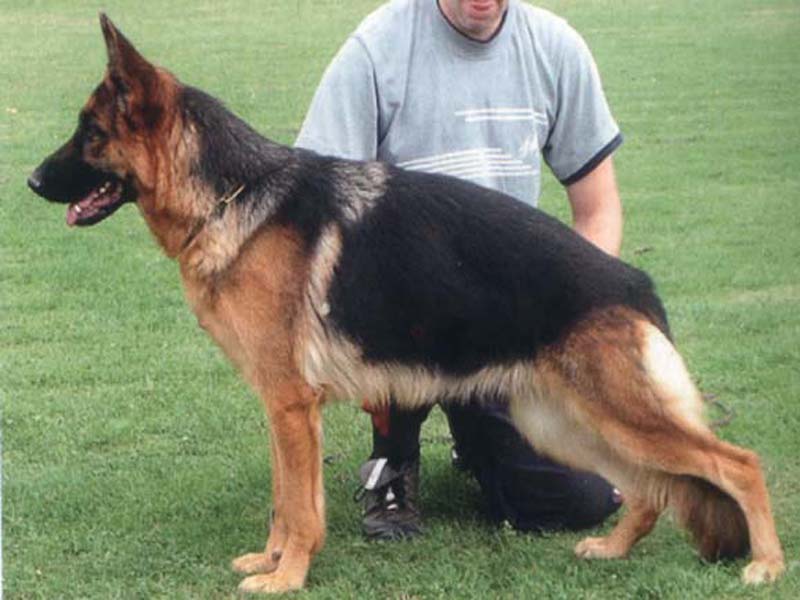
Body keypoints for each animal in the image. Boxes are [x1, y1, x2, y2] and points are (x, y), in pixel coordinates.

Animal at [28, 15, 785, 594]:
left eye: (89, 134)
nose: (31, 180)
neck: (231, 196)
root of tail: (633, 282)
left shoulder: (291, 407)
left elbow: (300, 508)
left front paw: (287, 577)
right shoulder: (279, 406)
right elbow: (283, 501)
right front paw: (269, 561)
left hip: (616, 415)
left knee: (736, 464)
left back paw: (767, 565)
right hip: (569, 424)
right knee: (653, 486)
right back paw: (616, 548)